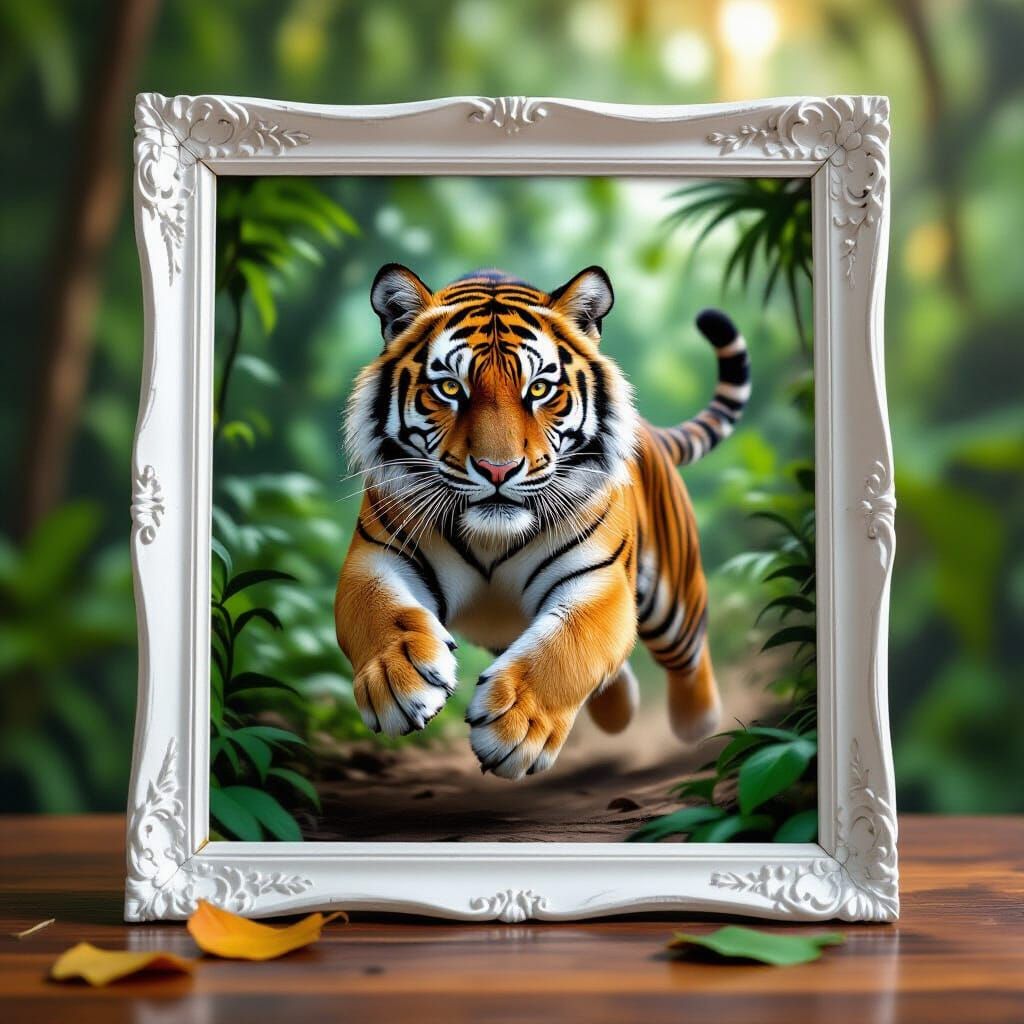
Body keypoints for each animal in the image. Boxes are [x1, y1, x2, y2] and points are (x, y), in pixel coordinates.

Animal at [335, 263, 751, 780]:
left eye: (538, 389)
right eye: (450, 388)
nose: (497, 469)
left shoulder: (599, 579)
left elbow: (570, 647)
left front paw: (516, 726)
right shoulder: (377, 555)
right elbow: (378, 611)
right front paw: (398, 677)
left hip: (674, 601)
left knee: (689, 657)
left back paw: (699, 724)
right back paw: (620, 712)